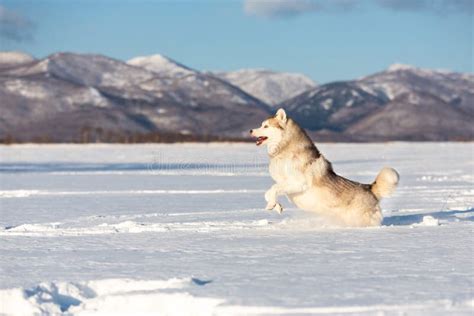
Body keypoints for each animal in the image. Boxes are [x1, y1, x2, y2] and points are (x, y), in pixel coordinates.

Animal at [250, 108, 398, 227]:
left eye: (265, 126)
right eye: (261, 125)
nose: (251, 130)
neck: (285, 151)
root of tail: (370, 188)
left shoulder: (298, 183)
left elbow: (273, 189)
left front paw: (272, 205)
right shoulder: (285, 183)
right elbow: (269, 192)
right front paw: (276, 206)